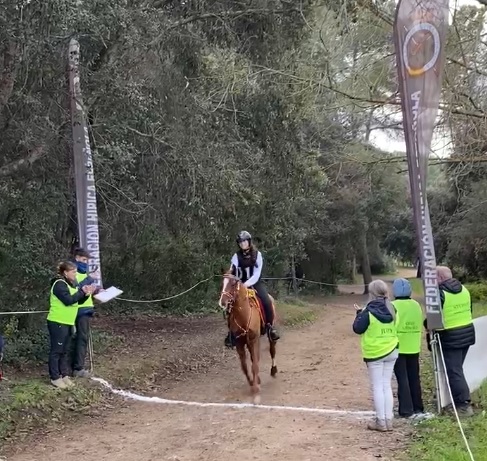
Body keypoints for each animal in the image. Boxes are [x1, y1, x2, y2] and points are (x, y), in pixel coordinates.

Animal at [218, 272, 276, 400]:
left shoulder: (254, 340)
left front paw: (256, 387)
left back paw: (273, 370)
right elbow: (244, 366)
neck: (243, 314)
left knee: (272, 350)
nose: (223, 302)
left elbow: (255, 363)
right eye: (222, 283)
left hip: (268, 335)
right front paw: (252, 383)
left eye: (233, 284)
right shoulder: (240, 343)